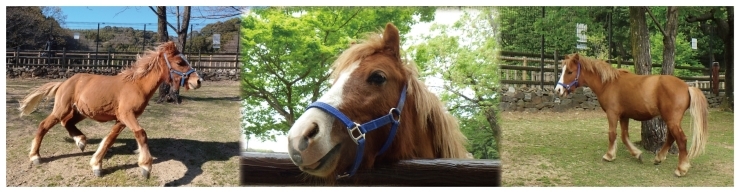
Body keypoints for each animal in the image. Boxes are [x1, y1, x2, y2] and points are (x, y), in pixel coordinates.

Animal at [17, 41, 202, 179]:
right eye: (180, 62)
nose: (198, 81)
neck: (137, 86)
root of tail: (63, 83)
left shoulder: (121, 119)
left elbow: (109, 139)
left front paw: (96, 165)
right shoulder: (127, 115)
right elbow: (141, 133)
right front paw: (146, 167)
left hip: (81, 112)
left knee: (67, 122)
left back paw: (81, 141)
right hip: (62, 109)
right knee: (44, 125)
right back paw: (36, 156)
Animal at [556, 52, 712, 176]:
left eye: (569, 71)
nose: (558, 90)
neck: (608, 83)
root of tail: (686, 86)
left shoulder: (612, 114)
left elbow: (612, 134)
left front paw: (609, 155)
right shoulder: (624, 116)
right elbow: (624, 137)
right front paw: (637, 154)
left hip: (672, 120)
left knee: (681, 139)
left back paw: (681, 168)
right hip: (671, 120)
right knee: (671, 138)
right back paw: (659, 158)